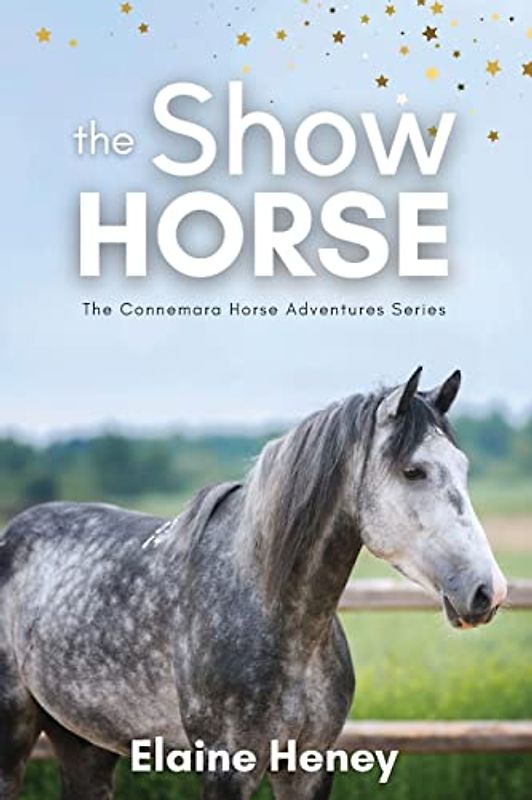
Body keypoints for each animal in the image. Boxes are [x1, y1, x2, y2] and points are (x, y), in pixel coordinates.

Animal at [0, 367, 507, 800]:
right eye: (413, 471)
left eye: (463, 467)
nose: (488, 592)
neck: (274, 613)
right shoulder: (227, 769)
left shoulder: (307, 766)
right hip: (14, 734)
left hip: (84, 742)